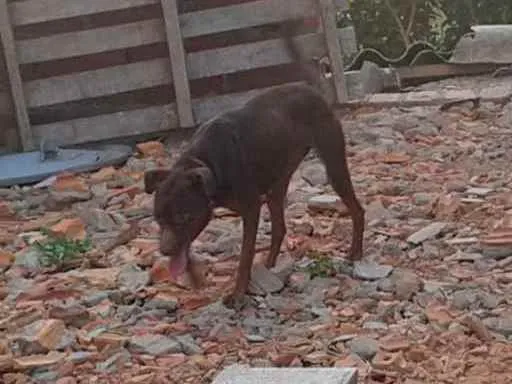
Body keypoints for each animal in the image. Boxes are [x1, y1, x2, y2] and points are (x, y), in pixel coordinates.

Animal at [142, 24, 362, 308]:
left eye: (183, 217)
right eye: (158, 218)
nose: (164, 250)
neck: (208, 162)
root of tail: (311, 90)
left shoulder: (250, 209)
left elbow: (245, 257)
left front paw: (237, 294)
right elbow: (188, 248)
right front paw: (194, 276)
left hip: (333, 165)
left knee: (357, 209)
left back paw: (355, 252)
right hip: (278, 182)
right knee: (279, 226)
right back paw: (269, 264)